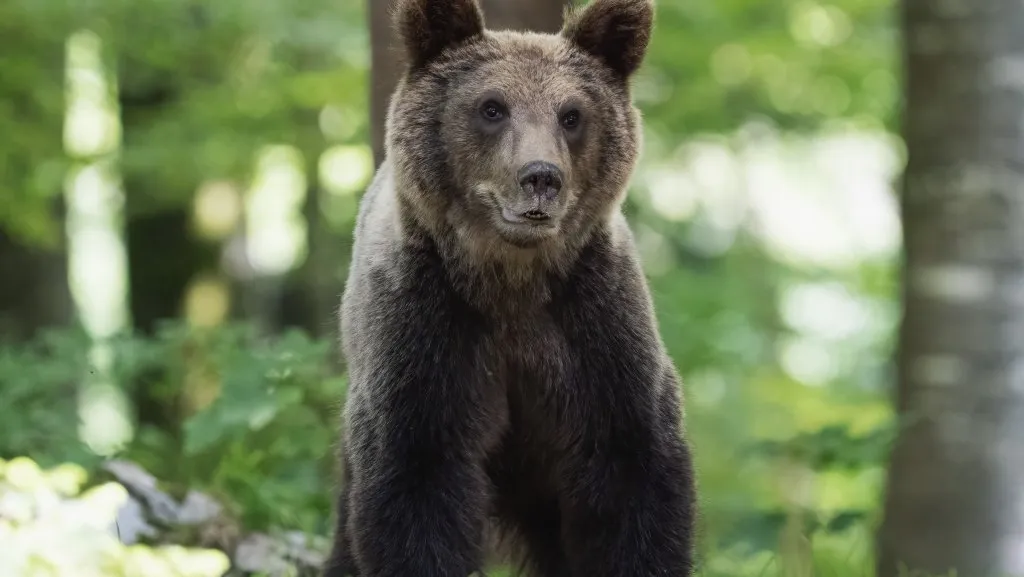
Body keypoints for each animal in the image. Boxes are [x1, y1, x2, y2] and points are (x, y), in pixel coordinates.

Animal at [322, 0, 697, 575]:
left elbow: (633, 480)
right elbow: (415, 488)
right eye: (492, 107)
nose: (541, 177)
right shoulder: (425, 334)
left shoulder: (596, 332)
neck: (511, 281)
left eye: (571, 114)